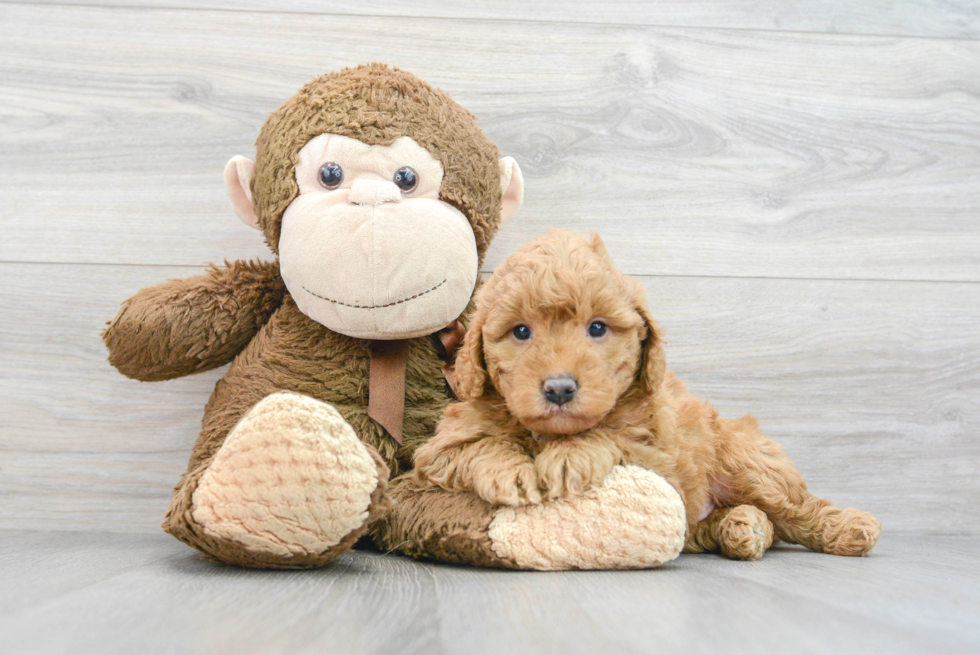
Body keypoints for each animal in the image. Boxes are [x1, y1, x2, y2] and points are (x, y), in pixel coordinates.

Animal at [414, 229, 880, 560]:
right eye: (521, 332)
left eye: (597, 328)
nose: (560, 388)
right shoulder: (440, 448)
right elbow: (477, 447)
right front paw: (510, 472)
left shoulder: (659, 454)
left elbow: (612, 434)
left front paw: (568, 457)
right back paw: (743, 528)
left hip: (747, 464)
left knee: (799, 510)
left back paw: (851, 528)